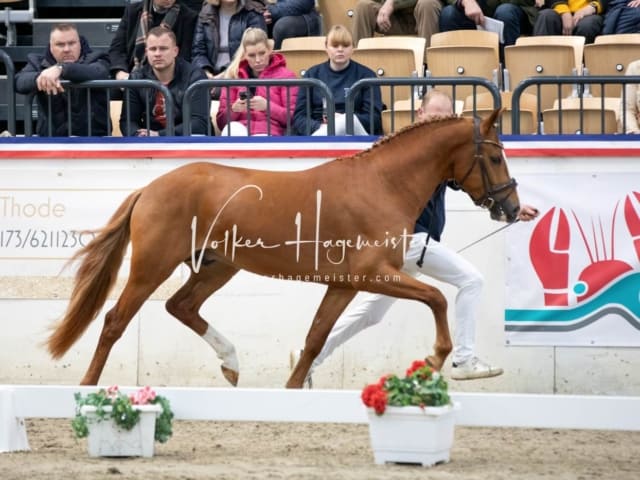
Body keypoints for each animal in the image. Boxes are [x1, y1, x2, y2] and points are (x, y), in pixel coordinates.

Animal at [48, 109, 520, 386]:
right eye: (496, 157)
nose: (512, 207)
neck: (383, 185)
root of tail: (149, 188)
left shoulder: (345, 284)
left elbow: (315, 339)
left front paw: (294, 390)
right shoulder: (373, 275)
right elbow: (436, 297)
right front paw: (437, 358)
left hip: (219, 266)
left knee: (181, 306)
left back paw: (232, 362)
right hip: (153, 267)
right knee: (114, 322)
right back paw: (87, 388)